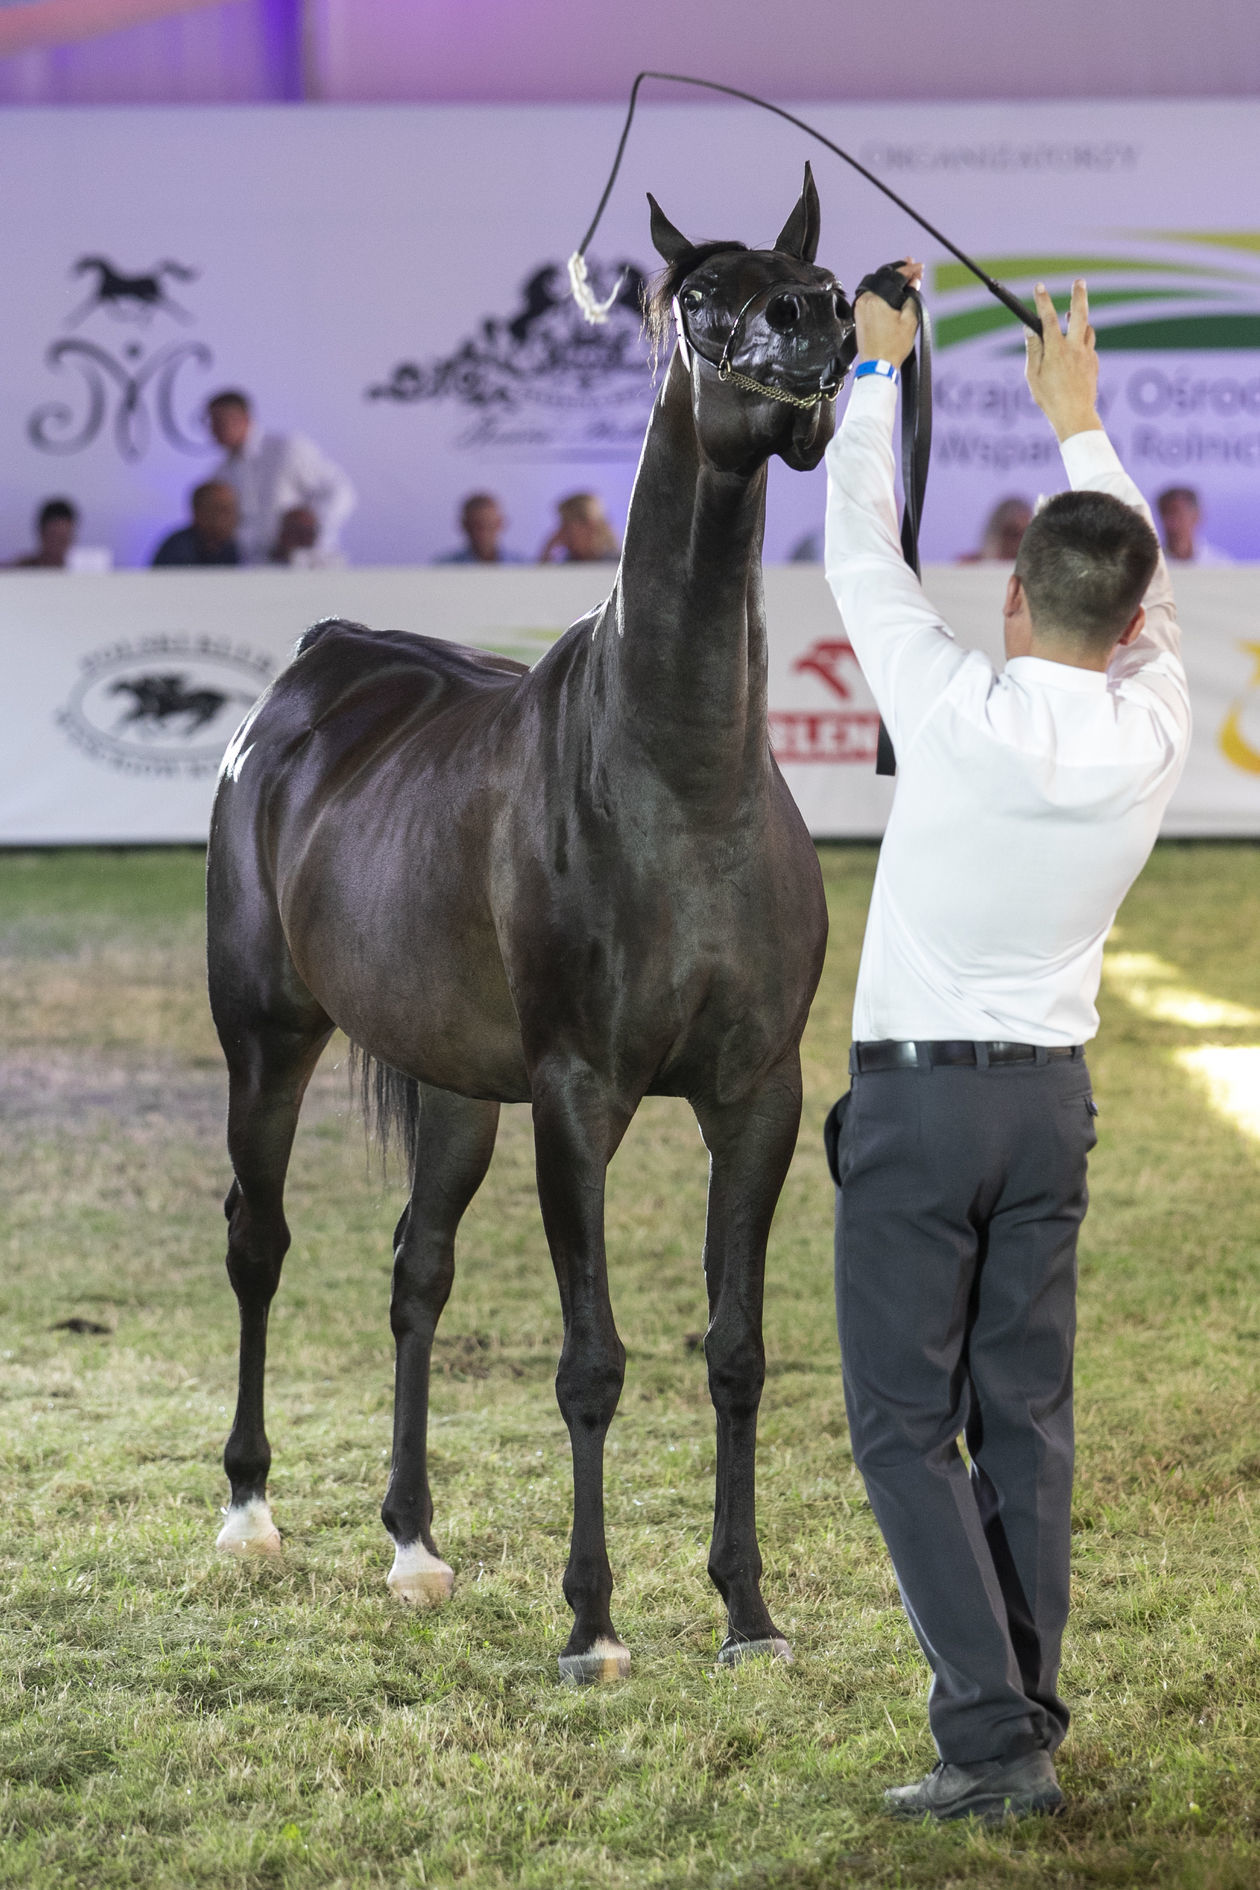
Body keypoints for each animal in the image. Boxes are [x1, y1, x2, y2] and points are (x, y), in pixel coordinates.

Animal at [206, 173, 857, 1685]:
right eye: (696, 294)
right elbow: (592, 1361)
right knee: (259, 1242)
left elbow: (734, 1350)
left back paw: (414, 1544)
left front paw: (747, 1614)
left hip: (454, 1089)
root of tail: (317, 664)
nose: (820, 326)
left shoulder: (757, 1097)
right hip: (267, 1042)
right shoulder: (579, 1098)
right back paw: (252, 1513)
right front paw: (593, 1625)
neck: (682, 779)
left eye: (813, 272)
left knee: (416, 1274)